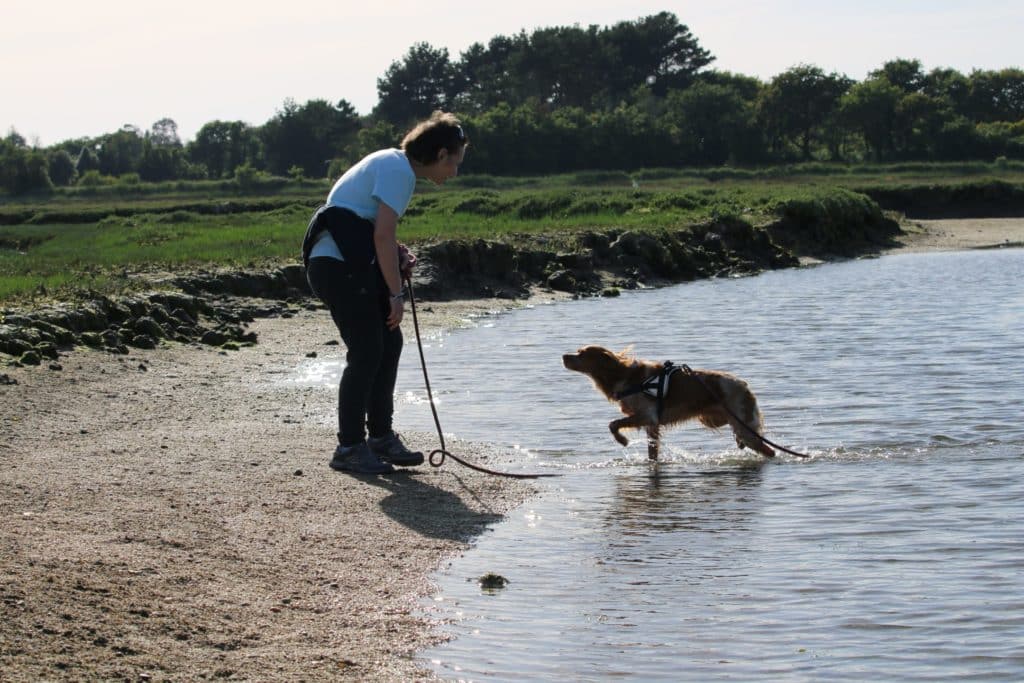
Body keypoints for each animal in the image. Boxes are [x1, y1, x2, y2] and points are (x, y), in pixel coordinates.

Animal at [561, 344, 774, 462]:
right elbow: (652, 452)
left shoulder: (647, 416)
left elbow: (613, 424)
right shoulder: (651, 424)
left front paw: (623, 440)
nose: (563, 356)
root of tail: (744, 384)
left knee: (770, 451)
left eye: (581, 354)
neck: (622, 375)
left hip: (744, 428)